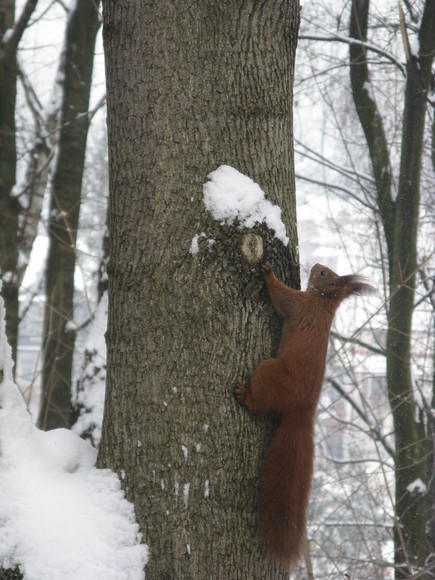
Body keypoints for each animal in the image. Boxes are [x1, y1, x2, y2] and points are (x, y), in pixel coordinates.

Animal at [235, 262, 374, 572]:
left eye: (323, 275)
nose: (316, 266)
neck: (323, 301)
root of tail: (301, 413)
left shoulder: (298, 305)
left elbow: (280, 296)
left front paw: (268, 272)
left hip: (269, 372)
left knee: (260, 406)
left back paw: (247, 398)